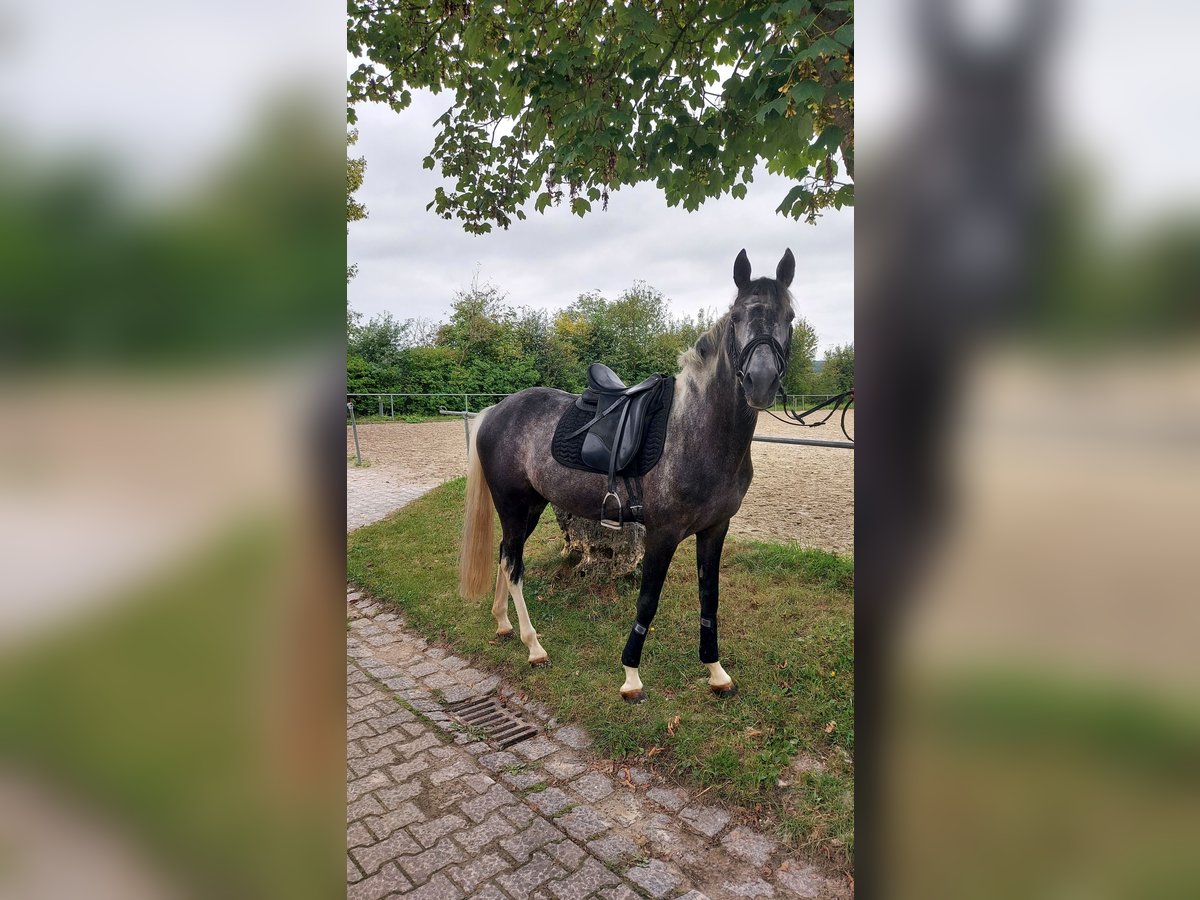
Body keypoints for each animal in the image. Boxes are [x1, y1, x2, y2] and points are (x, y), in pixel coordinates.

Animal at [453, 248, 792, 705]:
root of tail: (496, 410)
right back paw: (534, 646)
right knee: (513, 563)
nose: (761, 381)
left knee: (508, 556)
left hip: (533, 507)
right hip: (512, 504)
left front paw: (716, 672)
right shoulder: (662, 533)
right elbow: (647, 601)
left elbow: (710, 599)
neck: (698, 431)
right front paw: (631, 676)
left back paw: (503, 624)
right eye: (737, 318)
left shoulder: (715, 529)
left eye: (790, 317)